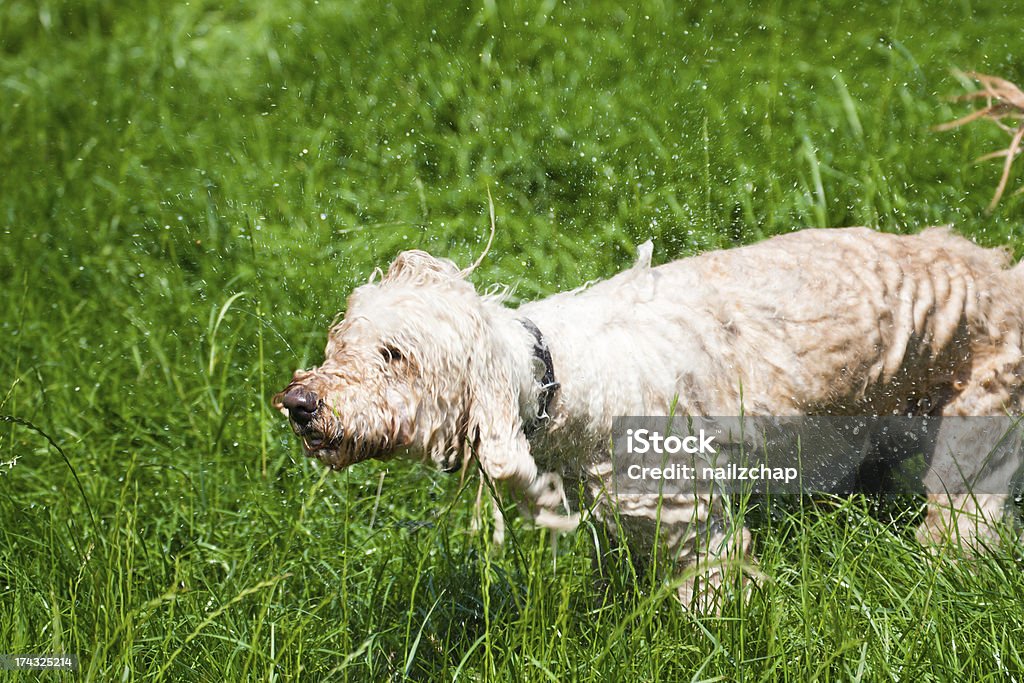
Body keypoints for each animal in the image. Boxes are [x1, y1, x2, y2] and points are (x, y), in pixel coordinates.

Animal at [272, 229, 1024, 610]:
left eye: (393, 354)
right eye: (339, 342)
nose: (298, 404)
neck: (562, 381)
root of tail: (1000, 270)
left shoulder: (691, 515)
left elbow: (715, 594)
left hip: (977, 416)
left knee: (966, 509)